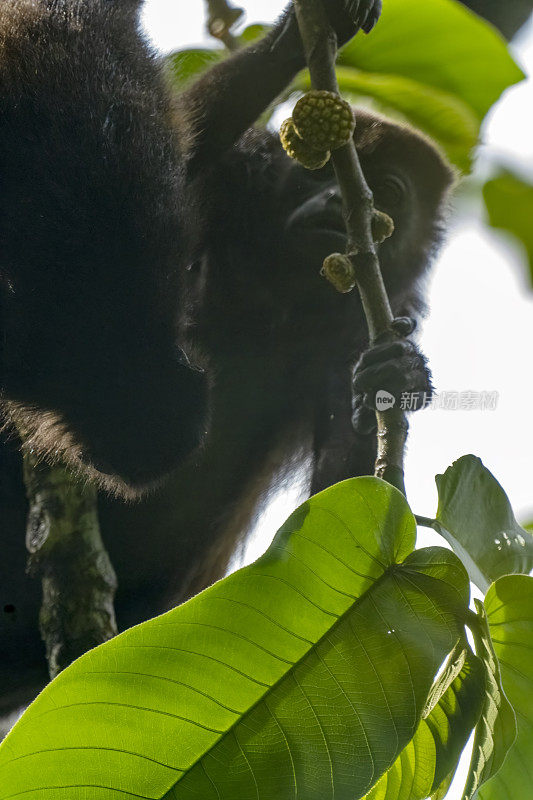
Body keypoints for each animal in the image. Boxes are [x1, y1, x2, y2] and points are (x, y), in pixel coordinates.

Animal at [0, 0, 450, 720]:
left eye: (388, 190)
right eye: (316, 169)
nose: (337, 204)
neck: (275, 300)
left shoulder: (368, 317)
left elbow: (349, 507)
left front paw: (386, 381)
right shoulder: (231, 188)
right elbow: (170, 154)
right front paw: (298, 34)